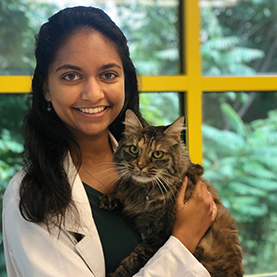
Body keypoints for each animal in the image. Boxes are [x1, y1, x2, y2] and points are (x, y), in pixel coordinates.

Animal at [99, 109, 242, 276]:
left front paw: (115, 273)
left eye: (157, 154)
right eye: (134, 149)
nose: (140, 165)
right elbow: (122, 190)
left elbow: (134, 259)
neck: (144, 191)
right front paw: (111, 197)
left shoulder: (158, 238)